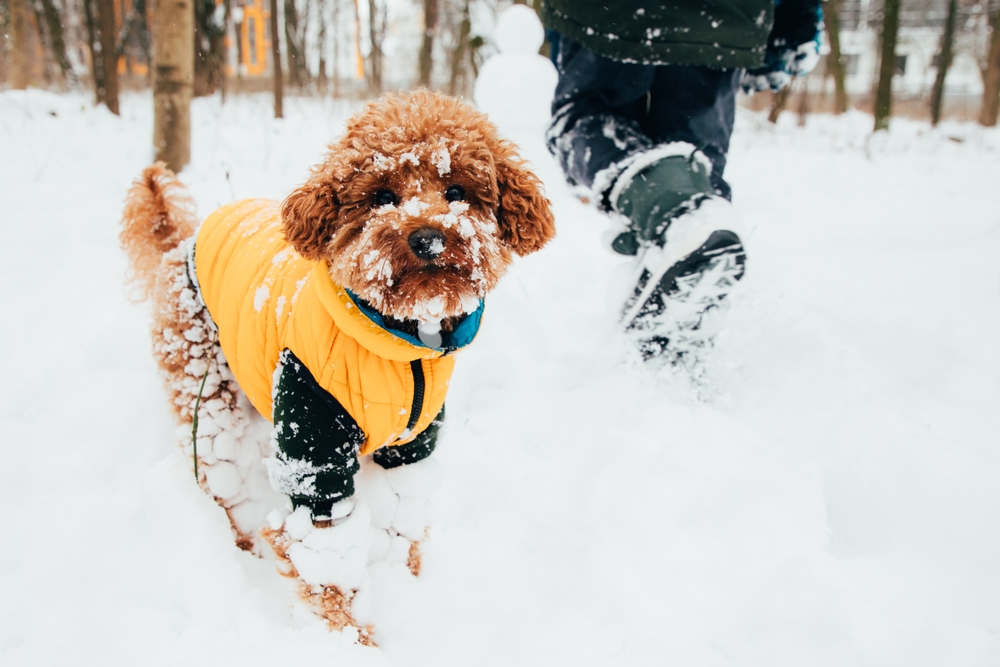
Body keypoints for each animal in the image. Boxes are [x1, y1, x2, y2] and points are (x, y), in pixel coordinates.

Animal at [120, 91, 556, 644]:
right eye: (382, 195)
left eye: (457, 190)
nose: (428, 238)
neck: (402, 346)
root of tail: (181, 240)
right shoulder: (315, 449)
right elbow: (323, 561)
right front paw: (349, 641)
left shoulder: (411, 448)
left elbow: (402, 518)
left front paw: (403, 585)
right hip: (204, 381)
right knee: (215, 464)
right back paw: (233, 534)